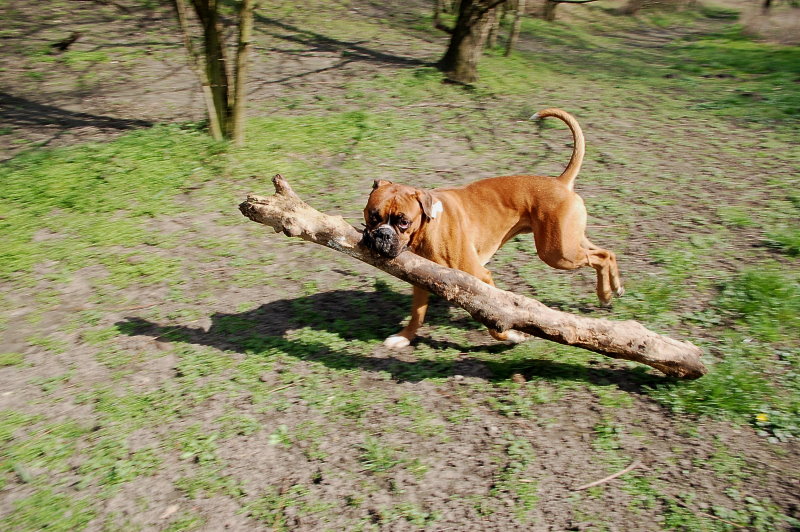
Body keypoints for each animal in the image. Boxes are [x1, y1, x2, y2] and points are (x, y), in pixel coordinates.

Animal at [360, 109, 620, 350]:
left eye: (403, 222)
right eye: (372, 216)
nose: (382, 234)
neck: (427, 228)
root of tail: (559, 182)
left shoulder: (480, 277)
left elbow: (494, 321)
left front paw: (512, 336)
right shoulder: (421, 280)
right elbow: (417, 313)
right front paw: (404, 337)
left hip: (557, 253)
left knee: (598, 257)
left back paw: (605, 294)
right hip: (569, 241)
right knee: (606, 253)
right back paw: (611, 290)